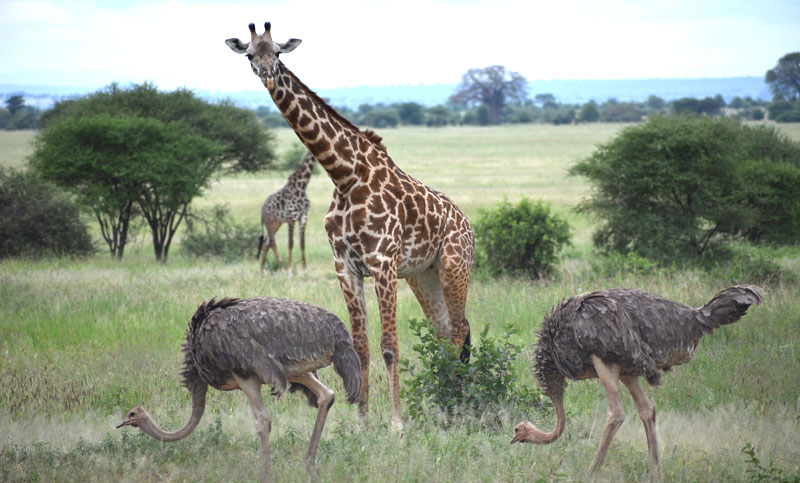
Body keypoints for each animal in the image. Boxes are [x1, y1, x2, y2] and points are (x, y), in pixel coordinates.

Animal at [225, 22, 476, 432]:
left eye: (277, 52)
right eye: (249, 54)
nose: (266, 74)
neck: (344, 175)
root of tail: (466, 221)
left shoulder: (383, 263)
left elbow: (390, 346)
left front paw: (396, 424)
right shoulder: (345, 265)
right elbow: (361, 346)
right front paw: (362, 419)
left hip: (455, 266)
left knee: (458, 331)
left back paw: (456, 404)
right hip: (423, 275)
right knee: (444, 331)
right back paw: (445, 402)